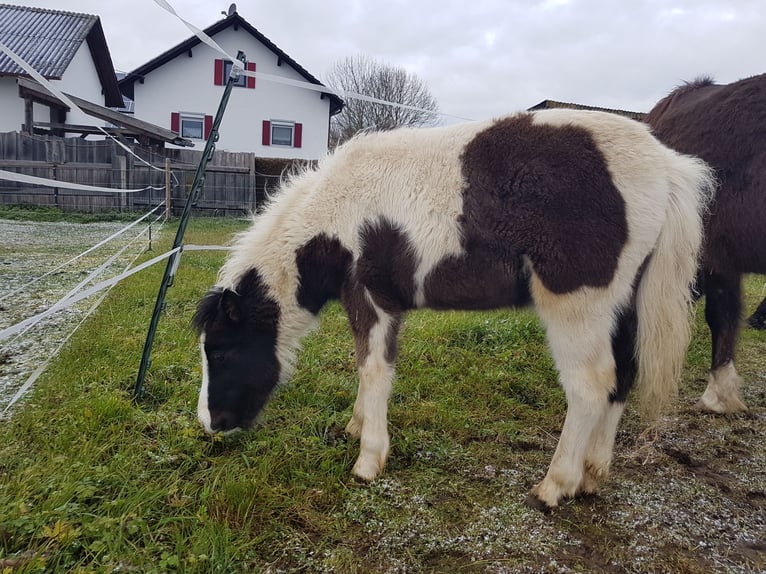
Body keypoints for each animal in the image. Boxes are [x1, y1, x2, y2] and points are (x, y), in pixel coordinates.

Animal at [195, 109, 716, 508]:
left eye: (218, 352)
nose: (210, 425)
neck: (338, 213)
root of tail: (667, 166)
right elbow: (367, 363)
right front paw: (356, 427)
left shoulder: (373, 297)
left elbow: (374, 370)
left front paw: (368, 460)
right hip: (623, 305)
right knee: (622, 377)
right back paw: (592, 475)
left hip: (576, 306)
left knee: (590, 387)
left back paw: (555, 486)